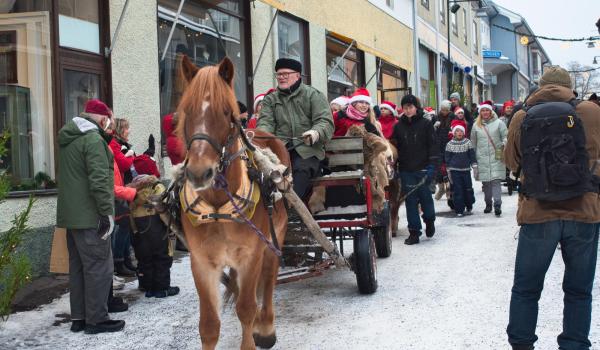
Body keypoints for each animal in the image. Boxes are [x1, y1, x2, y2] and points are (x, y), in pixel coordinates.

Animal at [176, 56, 290, 348]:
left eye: (227, 113)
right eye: (187, 111)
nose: (199, 172)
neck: (219, 207)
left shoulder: (251, 255)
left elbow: (246, 309)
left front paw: (256, 332)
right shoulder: (201, 262)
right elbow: (208, 325)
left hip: (275, 236)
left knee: (269, 279)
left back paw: (266, 326)